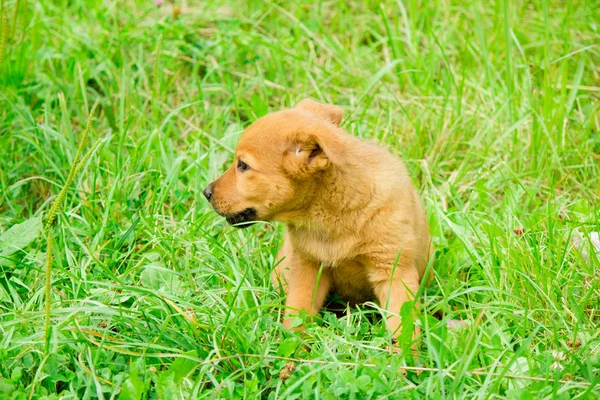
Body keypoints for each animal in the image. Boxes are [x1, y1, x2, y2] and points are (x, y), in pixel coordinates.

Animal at [204, 100, 434, 344]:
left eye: (243, 165)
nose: (206, 192)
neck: (335, 214)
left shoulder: (394, 271)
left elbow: (403, 328)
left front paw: (404, 355)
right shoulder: (307, 267)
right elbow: (297, 315)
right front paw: (292, 350)